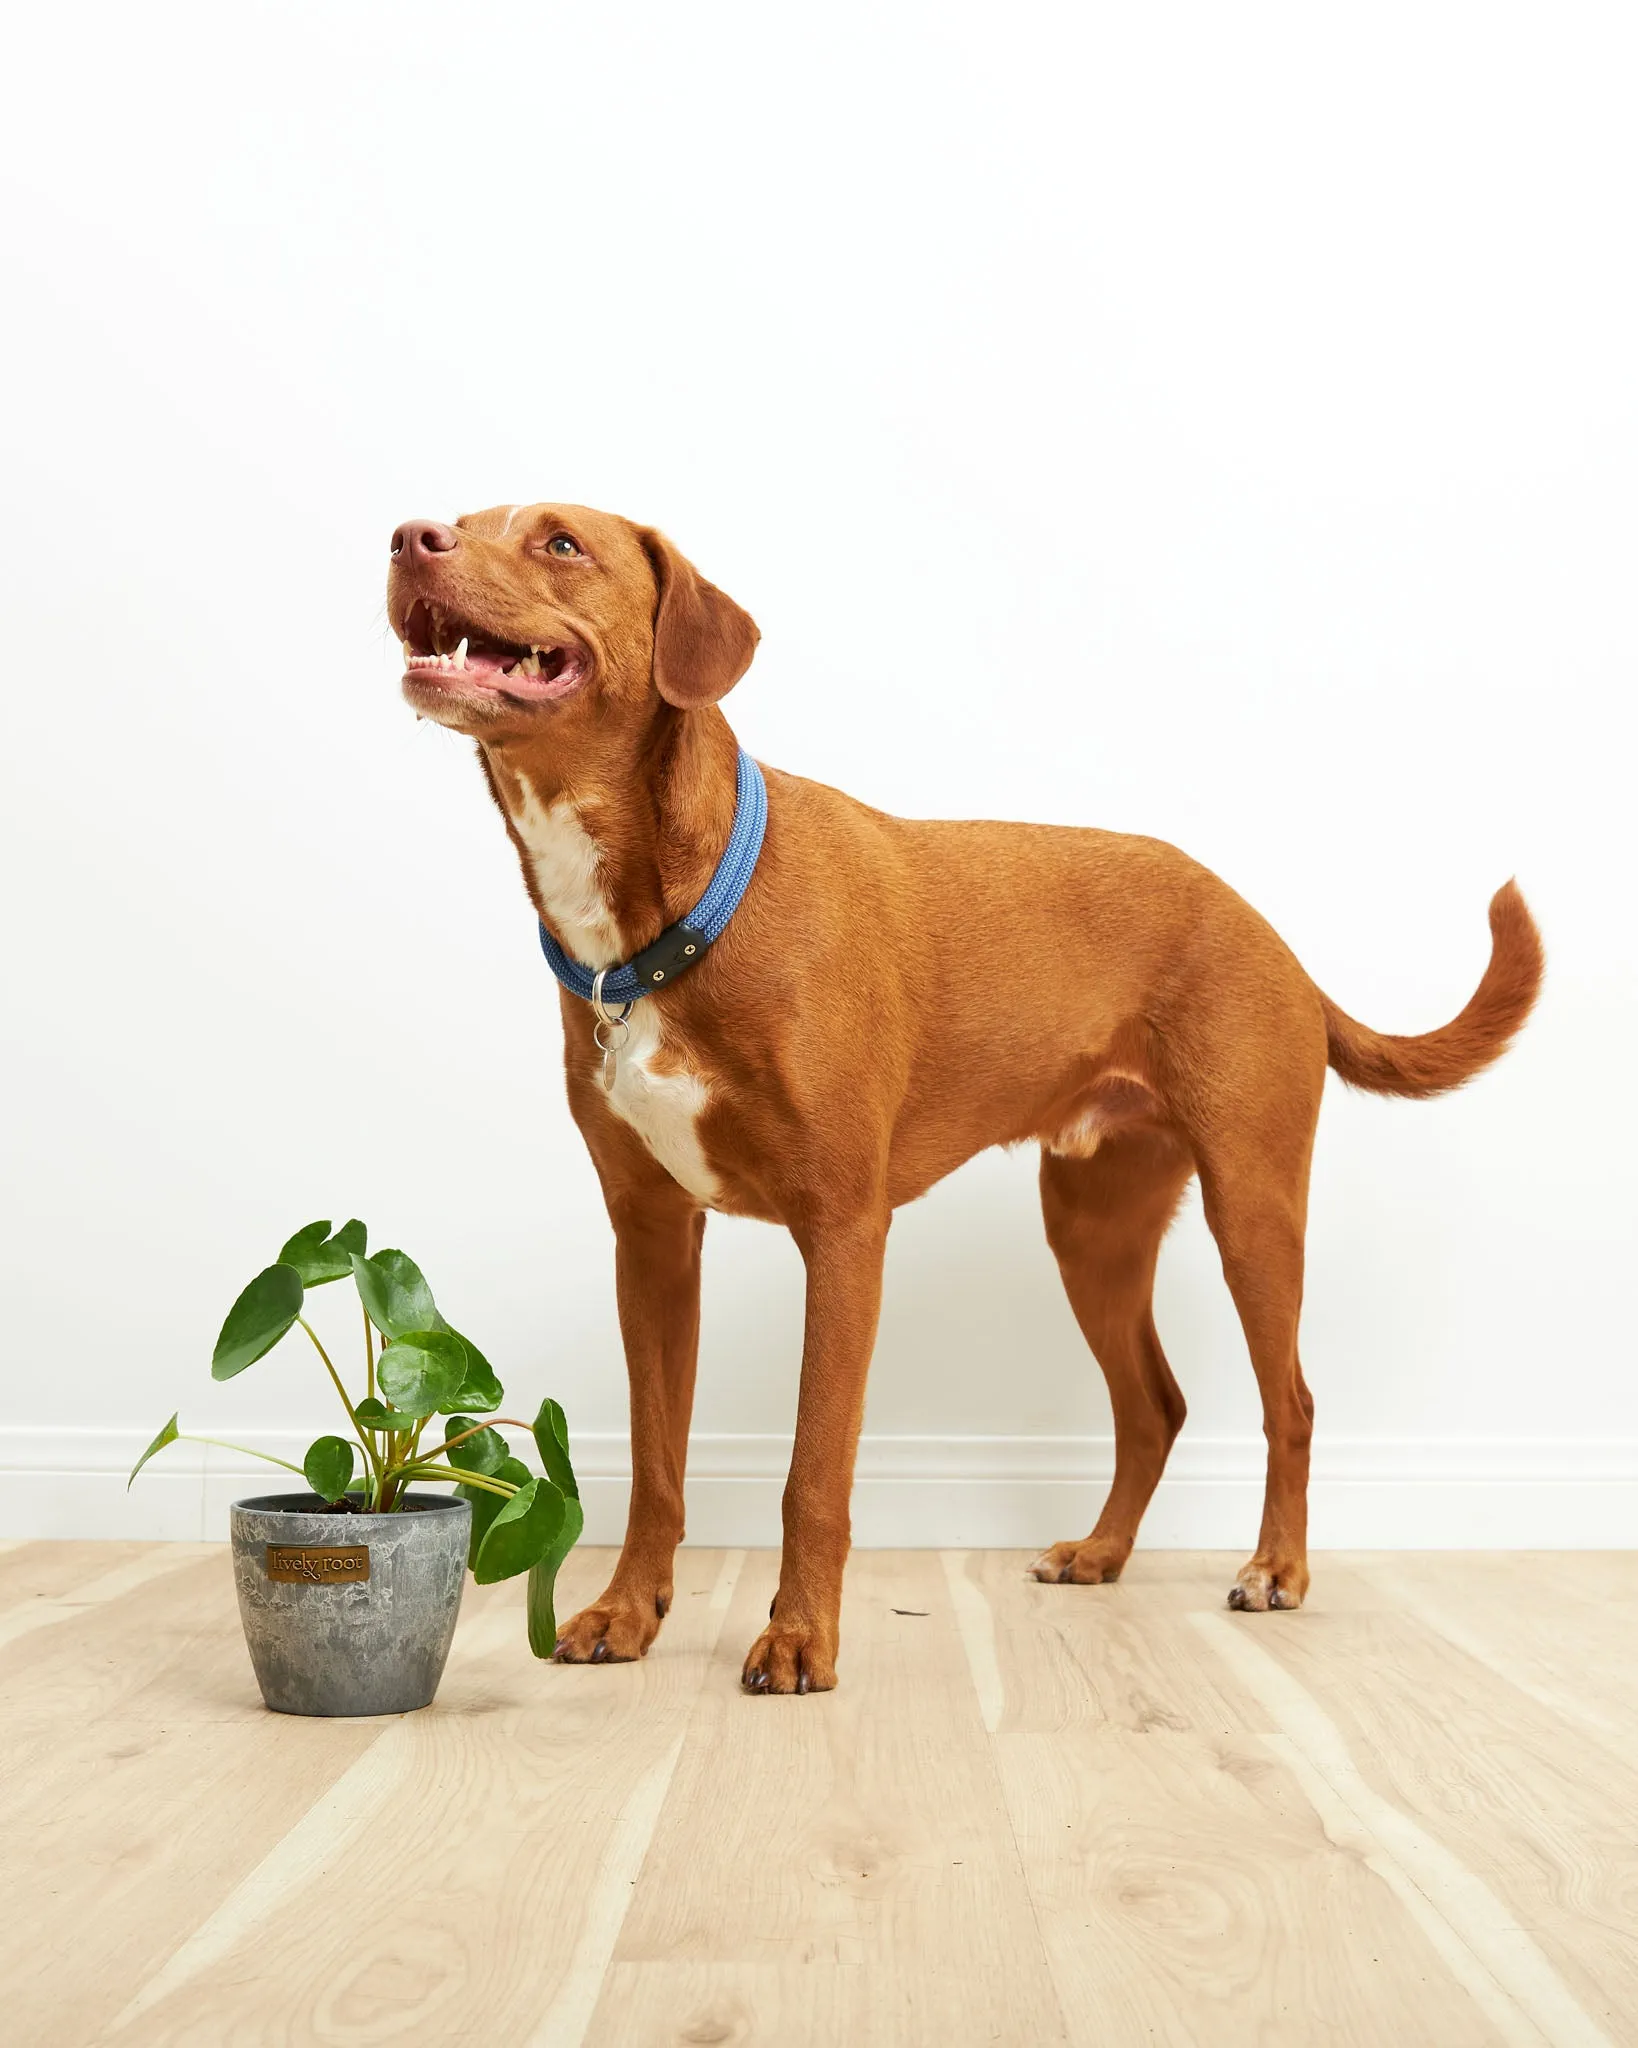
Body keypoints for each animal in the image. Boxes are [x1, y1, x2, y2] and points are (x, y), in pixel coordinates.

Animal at [386, 499, 1547, 1695]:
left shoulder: (844, 1232)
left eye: (560, 543)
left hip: (1252, 1207)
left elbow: (814, 1469)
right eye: (463, 521)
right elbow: (658, 1463)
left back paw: (1277, 1567)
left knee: (1293, 1401)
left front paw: (800, 1638)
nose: (410, 536)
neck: (682, 912)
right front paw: (627, 1611)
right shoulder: (653, 1240)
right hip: (1093, 1228)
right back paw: (1101, 1551)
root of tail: (1275, 936)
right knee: (1154, 1405)